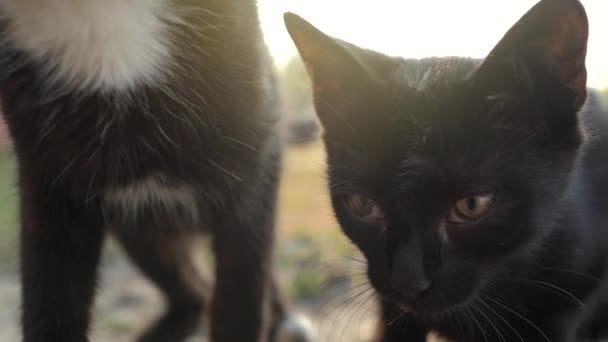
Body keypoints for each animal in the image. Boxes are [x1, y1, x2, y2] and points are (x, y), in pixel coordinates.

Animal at [0, 2, 314, 342]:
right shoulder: (46, 190)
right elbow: (49, 308)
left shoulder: (252, 177)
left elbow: (241, 303)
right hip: (142, 230)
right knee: (195, 295)